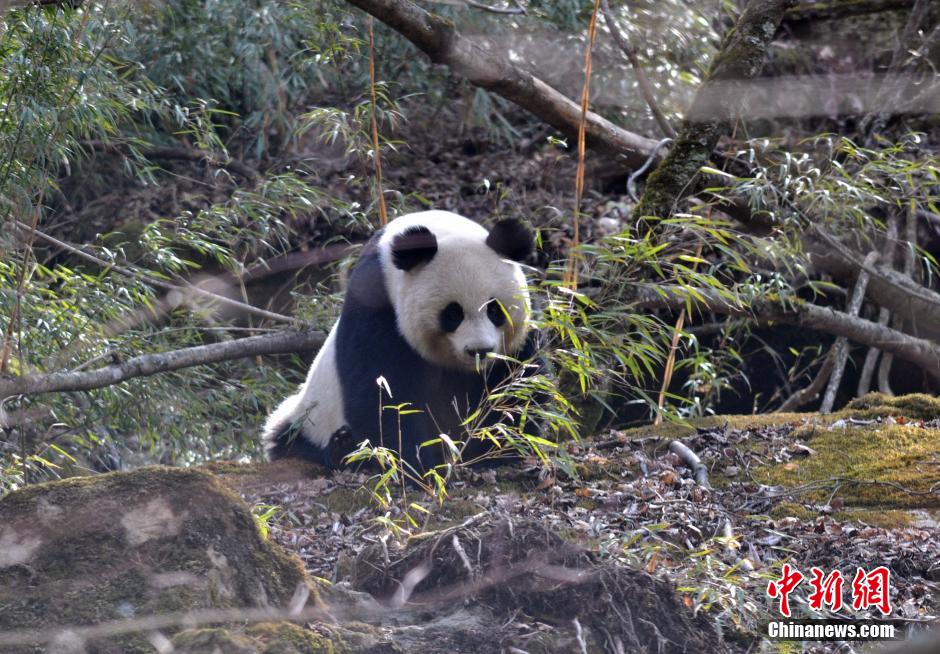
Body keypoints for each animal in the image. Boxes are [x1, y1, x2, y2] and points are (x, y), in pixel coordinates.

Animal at [264, 213, 540, 474]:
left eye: (495, 310)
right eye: (452, 314)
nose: (479, 351)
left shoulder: (512, 344)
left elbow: (517, 384)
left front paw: (497, 449)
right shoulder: (376, 302)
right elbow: (383, 394)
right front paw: (421, 465)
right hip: (309, 419)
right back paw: (343, 447)